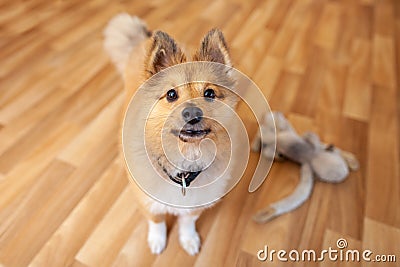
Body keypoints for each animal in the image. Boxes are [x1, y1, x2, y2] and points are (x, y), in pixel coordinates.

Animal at [104, 13, 239, 256]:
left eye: (209, 93)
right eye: (171, 94)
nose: (192, 113)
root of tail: (142, 40)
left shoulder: (195, 205)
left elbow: (187, 222)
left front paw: (188, 238)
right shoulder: (147, 202)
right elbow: (156, 221)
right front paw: (157, 240)